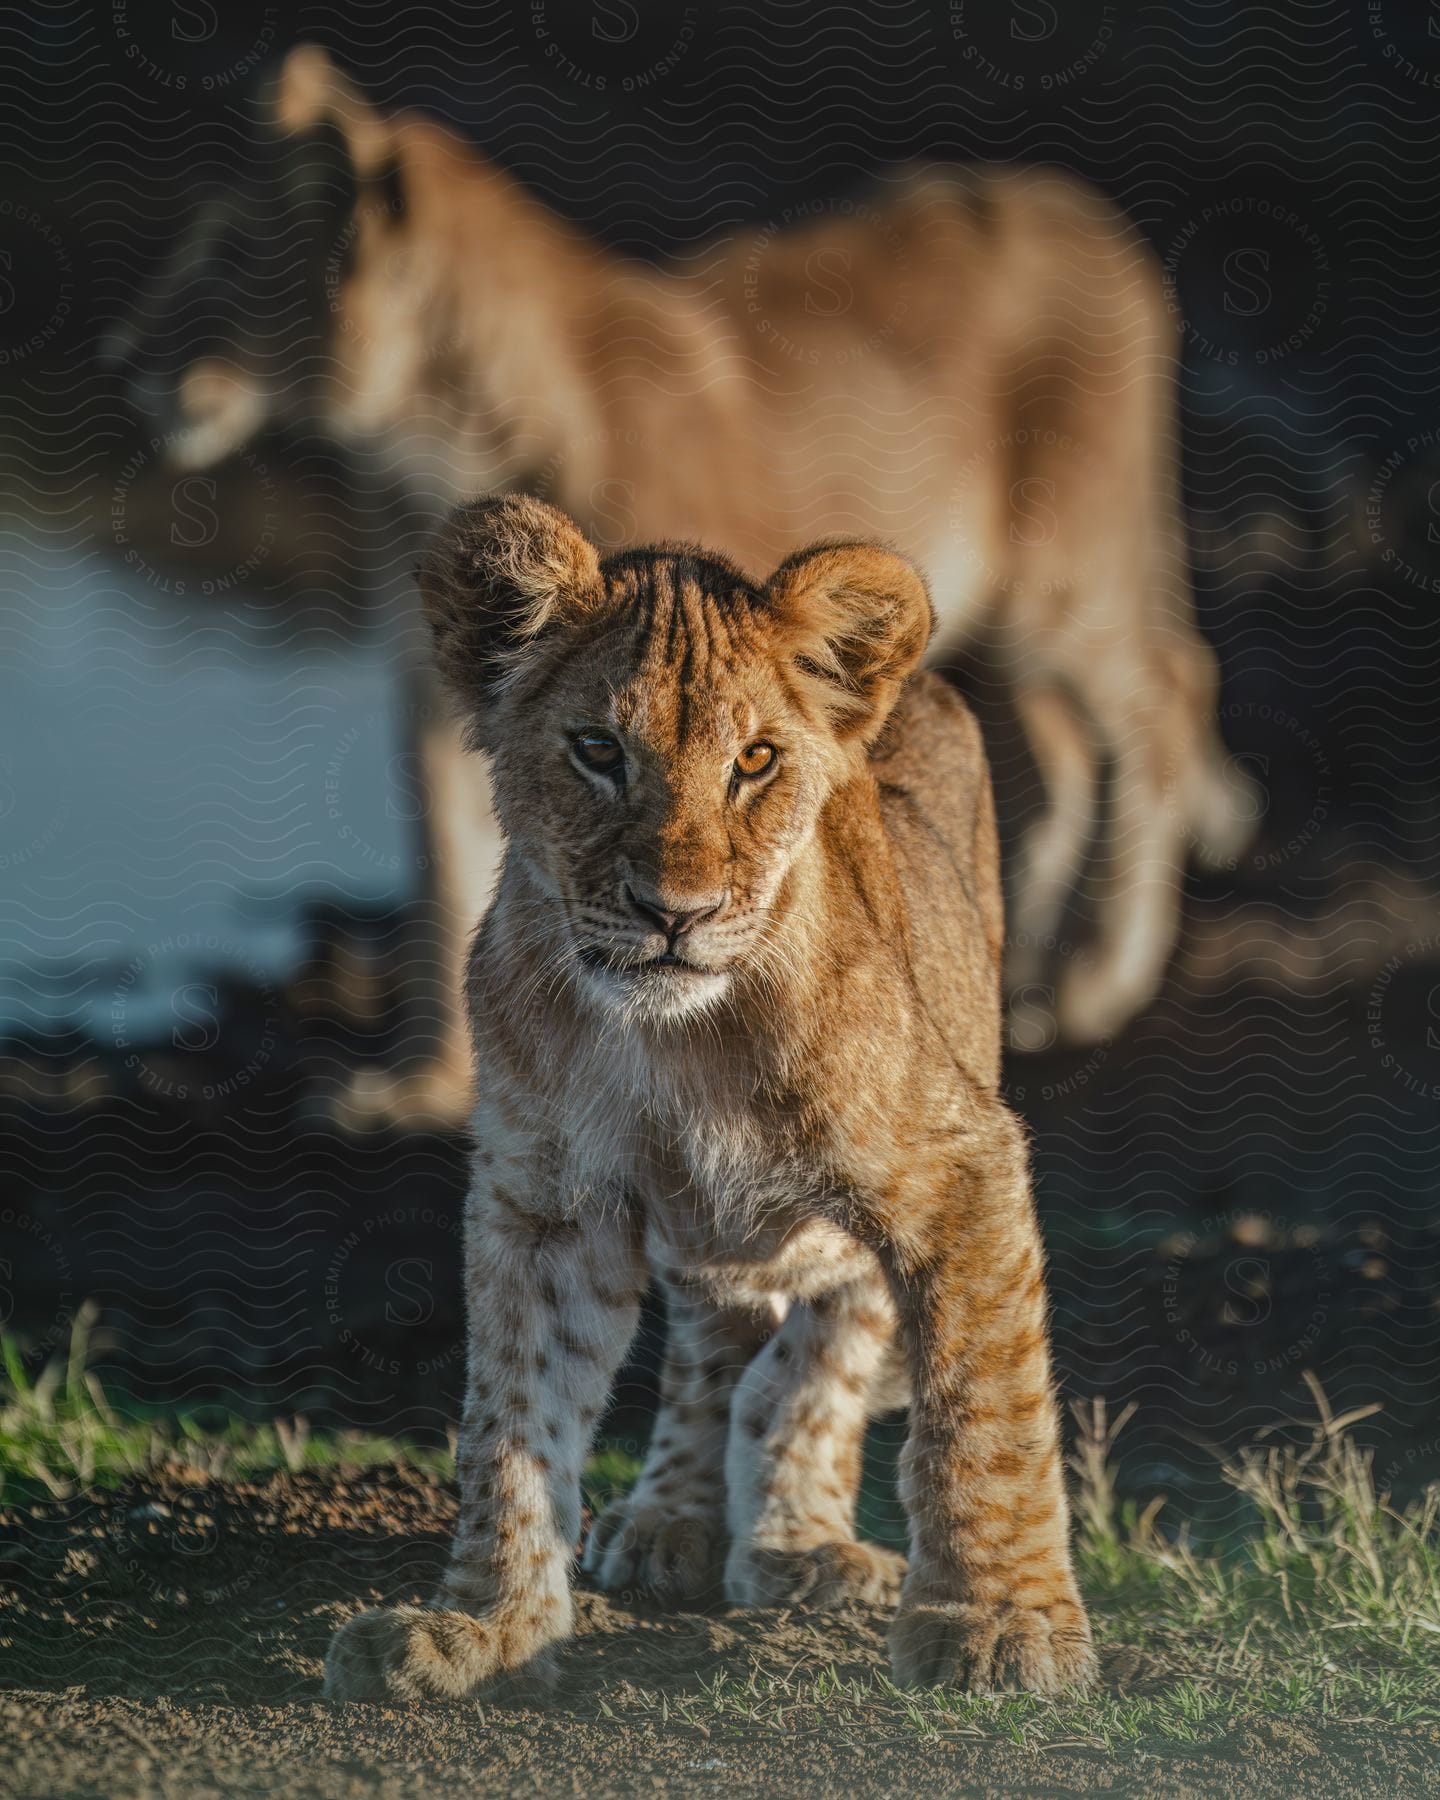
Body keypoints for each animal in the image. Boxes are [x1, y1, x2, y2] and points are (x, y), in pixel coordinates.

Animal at [107, 42, 1245, 1116]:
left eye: (232, 252)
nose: (125, 360)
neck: (433, 442)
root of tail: (1081, 206)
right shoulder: (454, 688)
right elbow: (444, 871)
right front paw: (428, 1085)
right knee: (1060, 758)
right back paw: (1009, 979)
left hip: (1071, 578)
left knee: (1169, 697)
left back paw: (1097, 982)